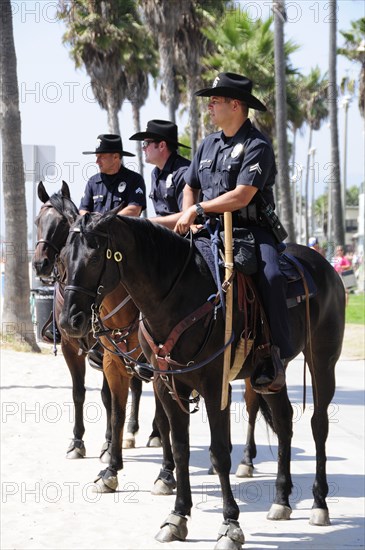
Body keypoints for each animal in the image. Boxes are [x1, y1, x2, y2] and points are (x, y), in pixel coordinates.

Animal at [59, 213, 344, 548]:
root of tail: (323, 264)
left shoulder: (214, 386)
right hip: (272, 374)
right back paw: (281, 501)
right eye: (64, 258)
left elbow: (219, 453)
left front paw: (230, 524)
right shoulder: (166, 384)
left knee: (318, 424)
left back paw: (319, 503)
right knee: (284, 421)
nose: (69, 321)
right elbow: (179, 445)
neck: (177, 295)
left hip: (322, 360)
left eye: (93, 259)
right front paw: (177, 516)